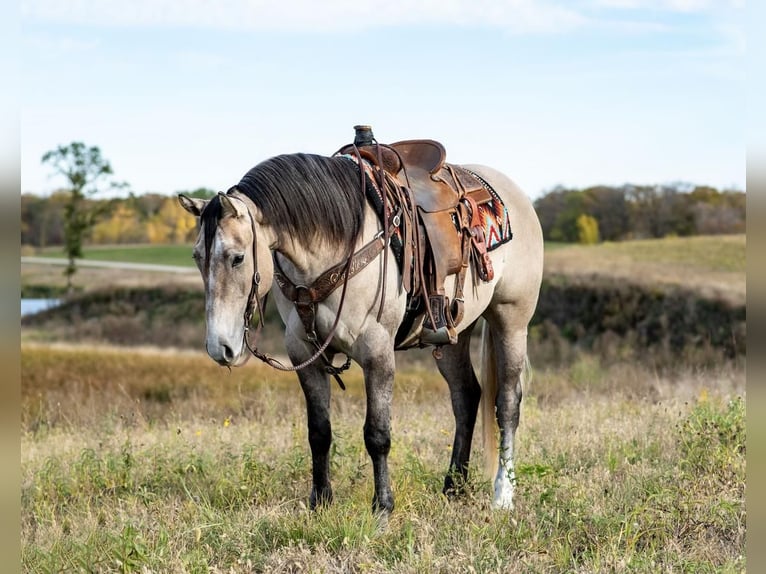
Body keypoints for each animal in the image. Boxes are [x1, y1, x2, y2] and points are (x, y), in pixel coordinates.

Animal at [178, 126, 544, 512]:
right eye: (197, 256)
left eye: (237, 258)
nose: (220, 347)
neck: (333, 247)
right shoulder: (304, 353)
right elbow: (319, 431)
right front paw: (320, 501)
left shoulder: (377, 352)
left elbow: (377, 434)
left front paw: (382, 505)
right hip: (452, 336)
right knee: (466, 396)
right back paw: (453, 487)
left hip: (511, 320)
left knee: (507, 403)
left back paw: (503, 494)